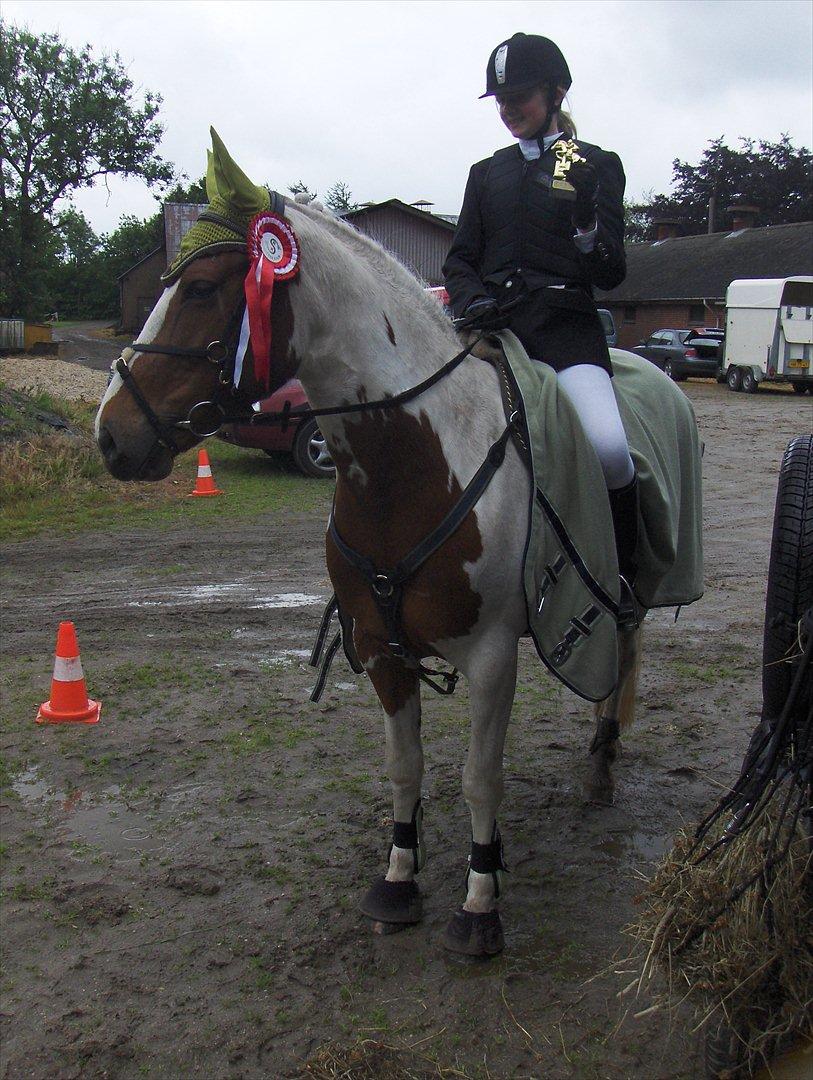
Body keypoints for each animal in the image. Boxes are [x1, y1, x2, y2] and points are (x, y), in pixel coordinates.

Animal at [95, 137, 652, 963]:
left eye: (197, 289)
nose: (110, 434)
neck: (411, 461)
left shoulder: (492, 655)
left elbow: (478, 778)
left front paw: (479, 903)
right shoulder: (381, 646)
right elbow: (403, 767)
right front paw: (398, 879)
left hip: (621, 599)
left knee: (621, 655)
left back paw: (603, 768)